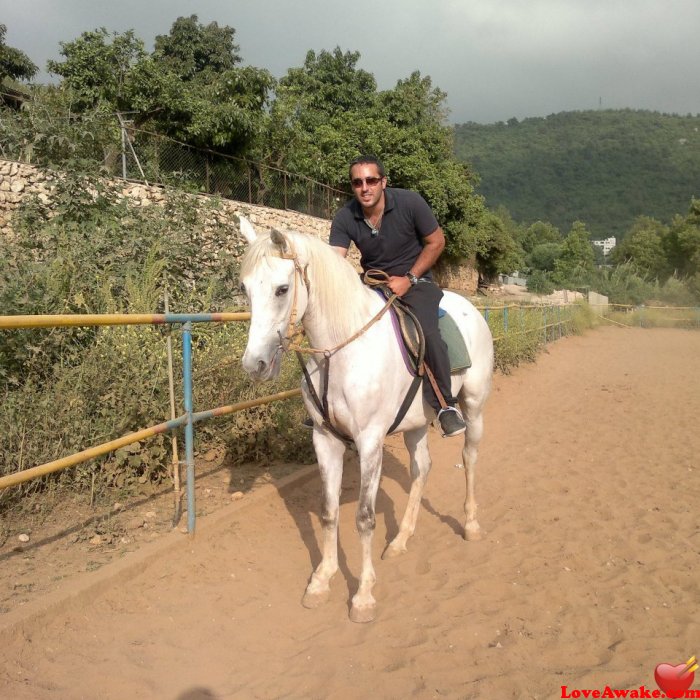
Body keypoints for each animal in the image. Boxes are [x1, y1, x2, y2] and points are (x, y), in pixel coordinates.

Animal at [239, 220, 492, 624]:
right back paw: (401, 539)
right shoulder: (324, 440)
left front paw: (363, 596)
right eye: (244, 288)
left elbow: (364, 518)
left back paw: (470, 525)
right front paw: (321, 581)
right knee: (422, 468)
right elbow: (328, 513)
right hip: (417, 422)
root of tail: (469, 307)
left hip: (474, 406)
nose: (255, 364)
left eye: (282, 289)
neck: (341, 349)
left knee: (468, 459)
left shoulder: (370, 441)